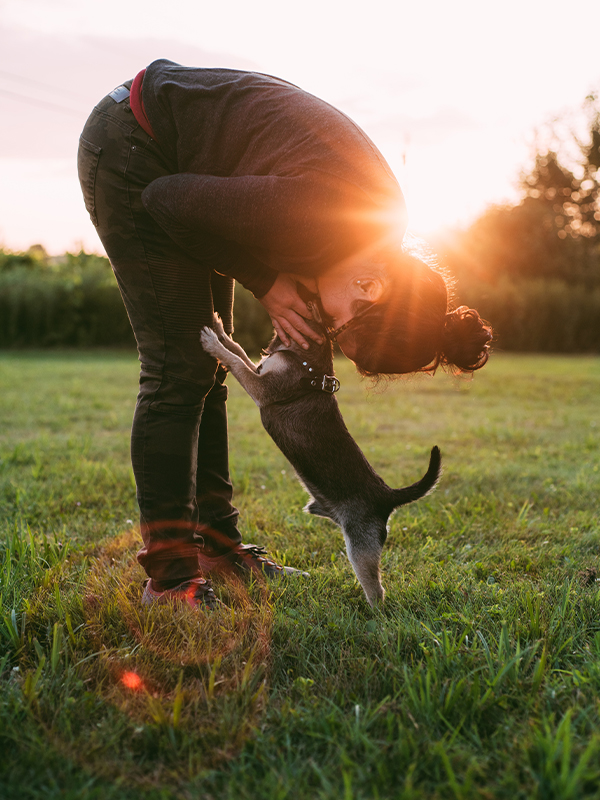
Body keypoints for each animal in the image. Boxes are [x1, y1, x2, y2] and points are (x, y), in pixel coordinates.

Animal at [202, 308, 440, 608]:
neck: (304, 352)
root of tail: (387, 496)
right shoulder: (259, 370)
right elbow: (237, 350)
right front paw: (220, 329)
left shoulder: (261, 387)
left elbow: (235, 361)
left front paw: (213, 343)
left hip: (360, 547)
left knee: (377, 590)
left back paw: (374, 613)